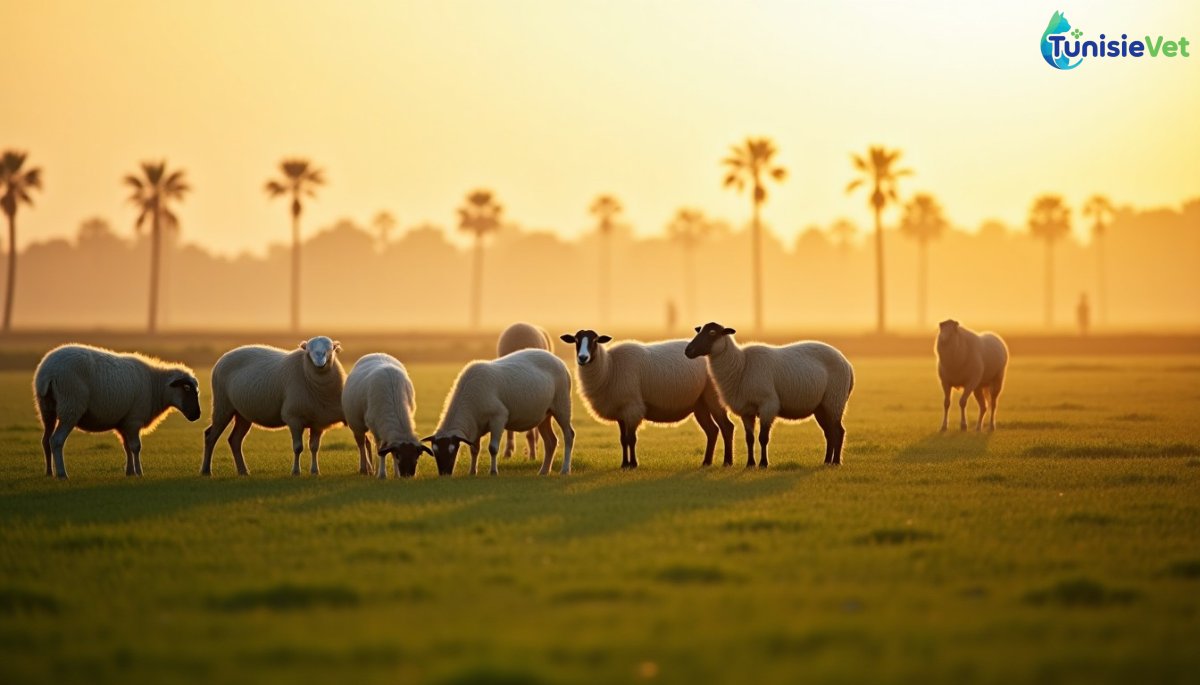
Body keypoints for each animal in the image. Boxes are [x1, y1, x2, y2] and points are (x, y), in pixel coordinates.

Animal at [33, 344, 201, 479]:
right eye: (187, 388)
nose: (197, 415)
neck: (156, 386)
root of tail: (48, 373)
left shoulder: (123, 422)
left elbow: (126, 447)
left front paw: (130, 472)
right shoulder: (134, 420)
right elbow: (135, 447)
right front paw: (139, 473)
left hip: (46, 409)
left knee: (45, 440)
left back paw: (49, 473)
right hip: (70, 406)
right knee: (56, 440)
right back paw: (62, 474)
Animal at [200, 336, 346, 476]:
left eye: (330, 348)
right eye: (308, 350)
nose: (320, 362)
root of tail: (225, 356)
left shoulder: (317, 420)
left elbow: (314, 447)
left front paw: (315, 471)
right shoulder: (294, 417)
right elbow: (298, 448)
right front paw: (296, 472)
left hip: (242, 413)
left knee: (234, 440)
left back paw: (243, 471)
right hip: (222, 405)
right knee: (210, 437)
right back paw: (206, 470)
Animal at [424, 349, 574, 477]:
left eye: (452, 449)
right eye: (435, 452)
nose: (444, 474)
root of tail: (558, 360)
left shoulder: (499, 417)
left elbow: (493, 448)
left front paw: (493, 472)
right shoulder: (476, 425)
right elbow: (474, 449)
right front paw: (472, 472)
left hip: (562, 404)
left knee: (569, 435)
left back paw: (565, 470)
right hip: (544, 414)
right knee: (551, 442)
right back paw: (543, 471)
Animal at [559, 330, 735, 469]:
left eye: (595, 340)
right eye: (576, 340)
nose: (582, 358)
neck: (610, 368)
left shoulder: (632, 408)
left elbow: (631, 439)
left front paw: (633, 464)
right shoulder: (621, 411)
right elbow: (623, 439)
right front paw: (624, 464)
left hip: (713, 397)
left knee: (727, 427)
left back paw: (727, 462)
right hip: (700, 404)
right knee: (712, 431)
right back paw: (706, 462)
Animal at [685, 322, 854, 467]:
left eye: (712, 333)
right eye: (699, 330)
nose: (688, 351)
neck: (742, 365)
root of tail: (847, 364)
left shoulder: (768, 405)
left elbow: (763, 438)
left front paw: (763, 464)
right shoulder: (747, 410)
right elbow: (750, 439)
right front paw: (750, 464)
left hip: (835, 401)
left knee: (838, 431)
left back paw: (836, 462)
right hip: (821, 407)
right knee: (829, 433)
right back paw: (826, 461)